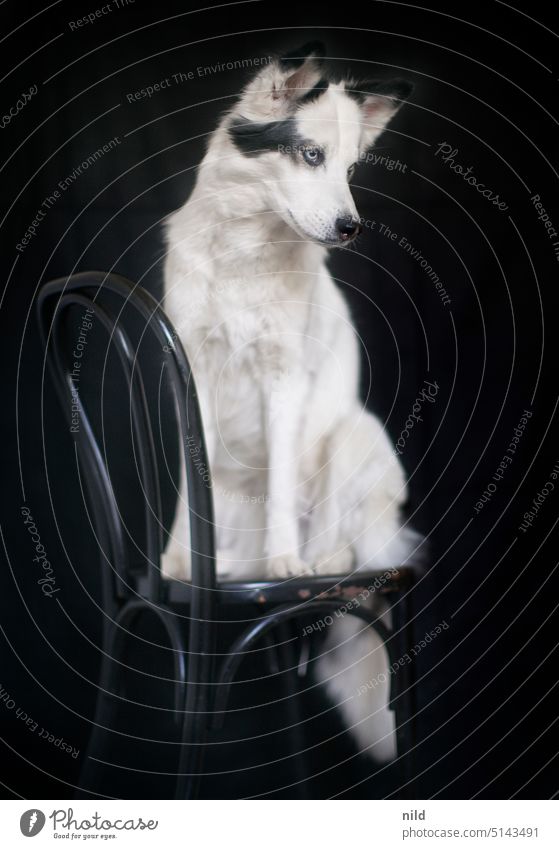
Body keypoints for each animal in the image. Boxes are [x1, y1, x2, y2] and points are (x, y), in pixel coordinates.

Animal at [162, 44, 420, 760]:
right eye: (311, 155)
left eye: (351, 168)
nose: (351, 228)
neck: (244, 253)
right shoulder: (193, 376)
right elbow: (188, 492)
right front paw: (180, 561)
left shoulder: (283, 384)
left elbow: (279, 486)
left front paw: (285, 559)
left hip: (354, 436)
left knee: (347, 543)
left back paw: (314, 559)